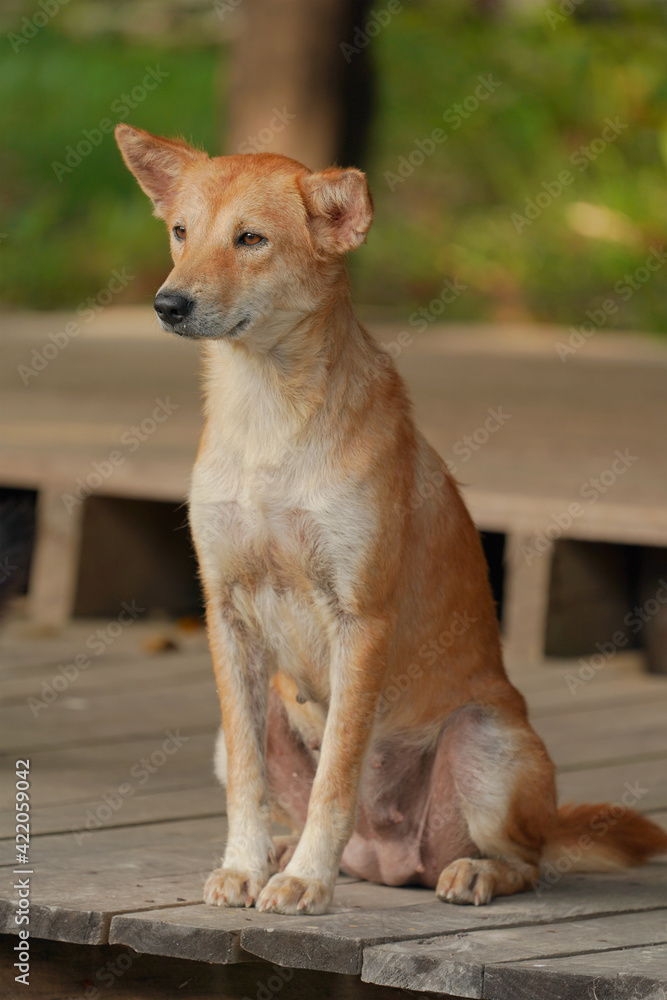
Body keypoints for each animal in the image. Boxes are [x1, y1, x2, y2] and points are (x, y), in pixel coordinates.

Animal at [115, 125, 667, 916]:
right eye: (180, 232)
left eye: (250, 239)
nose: (169, 303)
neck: (267, 420)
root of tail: (388, 858)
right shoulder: (226, 614)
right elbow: (252, 781)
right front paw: (246, 865)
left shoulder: (361, 618)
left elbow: (337, 777)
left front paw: (306, 880)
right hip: (253, 722)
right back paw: (285, 852)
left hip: (486, 744)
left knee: (527, 859)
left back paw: (465, 872)